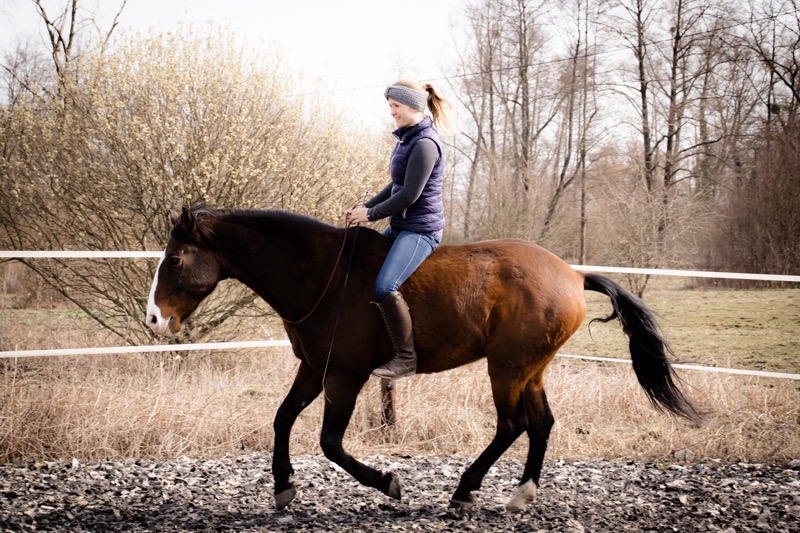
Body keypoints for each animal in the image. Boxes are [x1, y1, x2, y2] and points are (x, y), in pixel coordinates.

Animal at [147, 205, 696, 512]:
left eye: (174, 259)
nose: (154, 319)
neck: (322, 274)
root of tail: (573, 274)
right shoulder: (314, 368)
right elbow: (282, 419)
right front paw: (283, 488)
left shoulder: (345, 375)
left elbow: (330, 443)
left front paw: (388, 484)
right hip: (531, 369)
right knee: (539, 424)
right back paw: (520, 496)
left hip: (506, 368)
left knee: (512, 425)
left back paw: (466, 491)